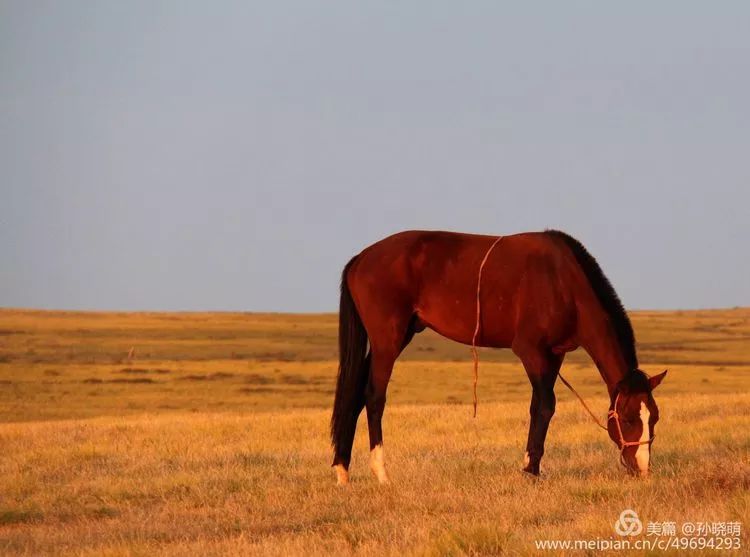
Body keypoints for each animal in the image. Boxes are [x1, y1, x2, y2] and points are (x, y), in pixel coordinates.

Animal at [332, 229, 668, 482]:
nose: (642, 469)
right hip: (387, 342)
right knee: (374, 397)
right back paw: (381, 473)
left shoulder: (554, 355)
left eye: (654, 418)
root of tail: (360, 259)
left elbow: (539, 407)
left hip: (396, 338)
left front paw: (532, 465)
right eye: (627, 418)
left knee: (355, 395)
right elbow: (545, 406)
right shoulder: (531, 352)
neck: (562, 283)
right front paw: (530, 470)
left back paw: (342, 469)